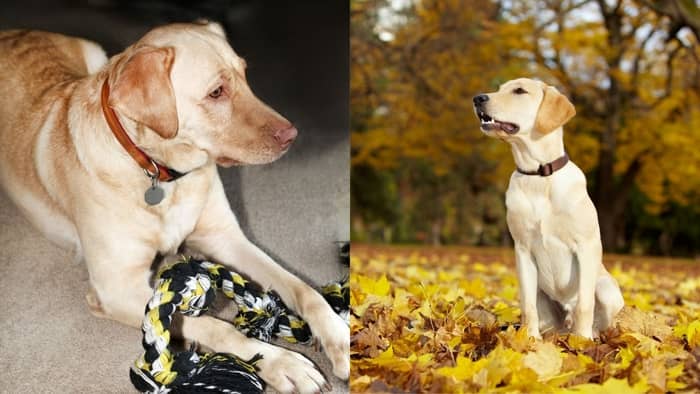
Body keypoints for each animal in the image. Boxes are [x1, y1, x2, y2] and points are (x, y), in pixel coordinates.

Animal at [0, 22, 348, 394]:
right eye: (216, 92)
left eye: (245, 75)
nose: (292, 136)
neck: (161, 174)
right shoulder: (115, 288)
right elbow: (213, 324)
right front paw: (280, 362)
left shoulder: (225, 238)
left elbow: (302, 288)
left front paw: (341, 336)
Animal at [474, 78, 628, 340]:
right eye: (499, 88)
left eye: (519, 91)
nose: (477, 98)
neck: (539, 174)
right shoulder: (523, 250)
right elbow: (527, 307)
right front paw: (530, 340)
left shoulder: (586, 246)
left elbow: (585, 304)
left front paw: (582, 341)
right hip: (542, 297)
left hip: (607, 290)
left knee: (595, 316)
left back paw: (590, 334)